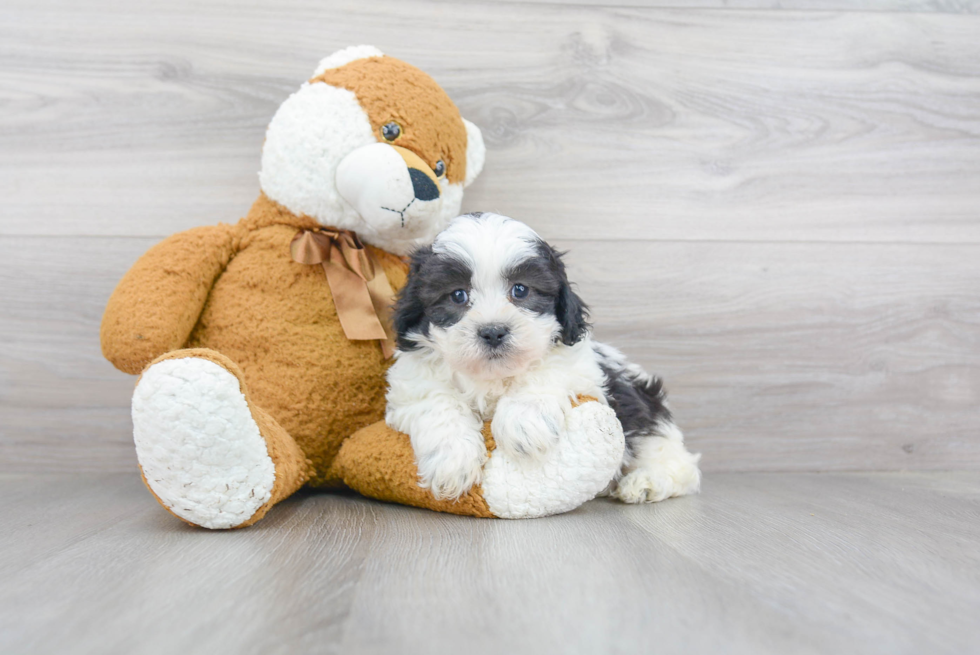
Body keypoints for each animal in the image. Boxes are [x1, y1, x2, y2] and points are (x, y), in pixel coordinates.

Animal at [386, 213, 700, 504]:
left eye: (520, 290)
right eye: (457, 295)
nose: (493, 331)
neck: (493, 376)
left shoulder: (580, 366)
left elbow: (545, 371)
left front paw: (523, 422)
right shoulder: (412, 383)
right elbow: (437, 402)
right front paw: (452, 461)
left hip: (645, 408)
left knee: (676, 462)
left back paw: (645, 482)